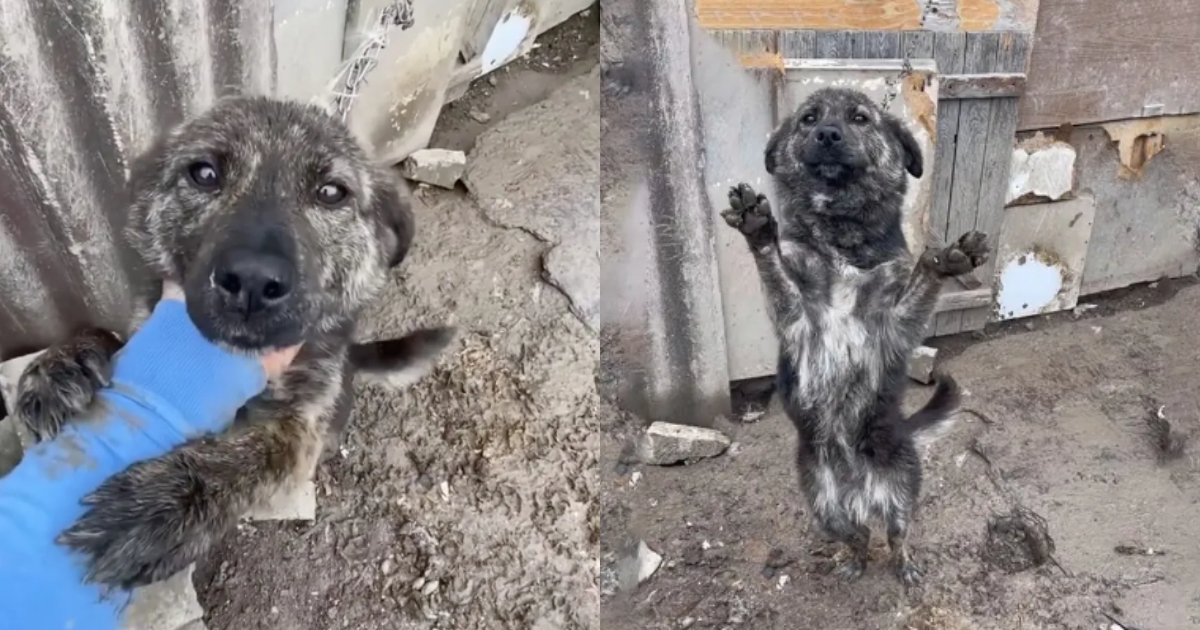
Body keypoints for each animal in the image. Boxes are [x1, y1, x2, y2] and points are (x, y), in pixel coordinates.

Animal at [14, 96, 453, 588]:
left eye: (331, 192)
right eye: (204, 173)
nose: (252, 280)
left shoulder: (300, 426)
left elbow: (259, 453)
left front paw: (172, 501)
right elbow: (108, 334)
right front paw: (59, 366)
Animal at [715, 87, 988, 585]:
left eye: (860, 118)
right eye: (808, 118)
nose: (827, 134)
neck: (841, 238)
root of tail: (861, 491)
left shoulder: (895, 323)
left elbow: (924, 277)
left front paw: (947, 260)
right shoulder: (795, 314)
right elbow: (774, 265)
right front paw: (758, 227)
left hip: (901, 494)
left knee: (897, 536)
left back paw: (905, 566)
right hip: (824, 507)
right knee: (858, 536)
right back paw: (853, 562)